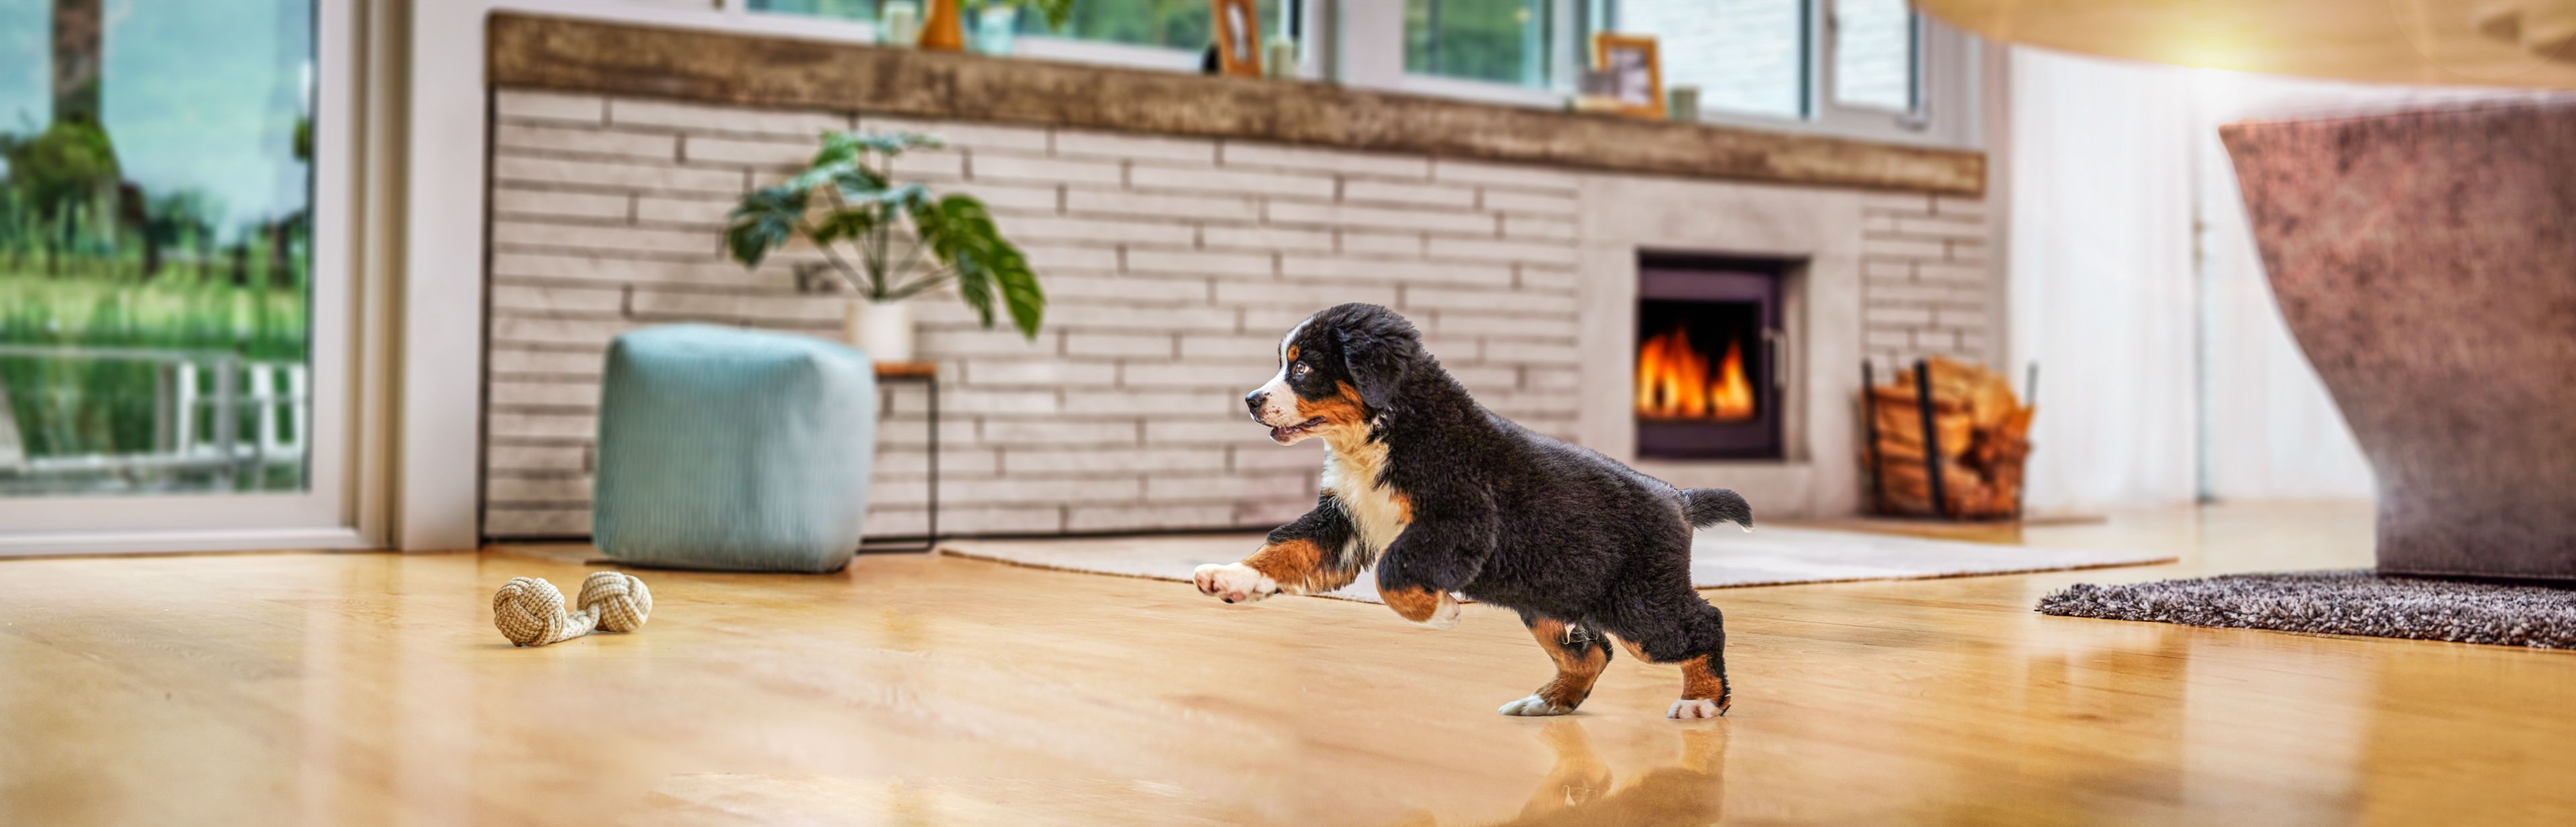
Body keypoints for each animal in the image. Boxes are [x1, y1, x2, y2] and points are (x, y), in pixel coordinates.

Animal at [1195, 301, 1762, 716]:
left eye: (1305, 366)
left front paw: (1441, 612)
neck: (1383, 433)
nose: (1252, 400)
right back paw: (1548, 701)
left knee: (1702, 624)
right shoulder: (1343, 519)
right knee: (1593, 650)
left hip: (1641, 601)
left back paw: (1701, 701)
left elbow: (1392, 571)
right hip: (1547, 593)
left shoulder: (1460, 519)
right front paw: (1231, 576)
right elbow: (1286, 546)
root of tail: (1678, 498)